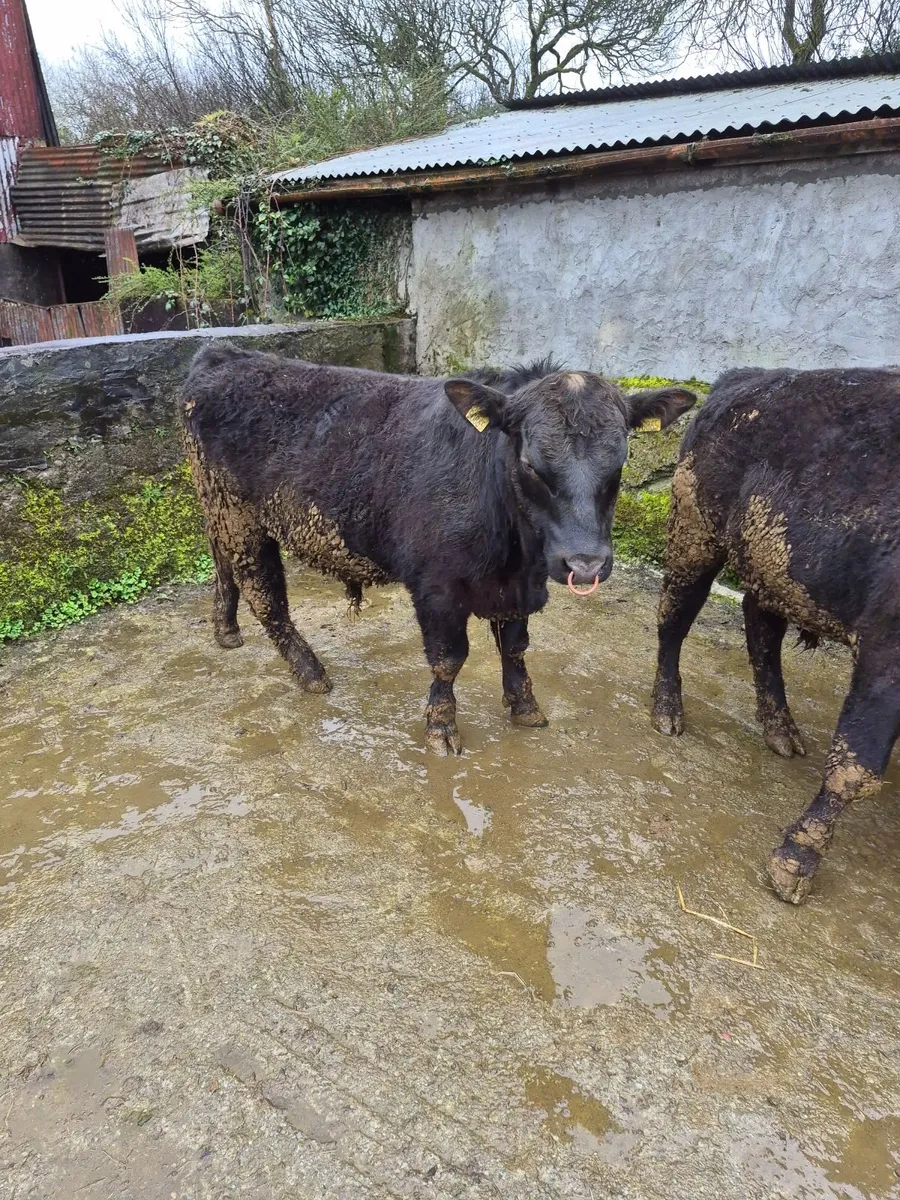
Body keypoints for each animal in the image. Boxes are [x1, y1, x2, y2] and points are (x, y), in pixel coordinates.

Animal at [180, 346, 696, 754]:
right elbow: (449, 658)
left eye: (620, 461)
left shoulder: (518, 588)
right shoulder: (436, 585)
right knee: (265, 595)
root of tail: (223, 354)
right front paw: (442, 727)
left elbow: (515, 646)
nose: (586, 564)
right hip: (241, 518)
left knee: (221, 563)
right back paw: (310, 673)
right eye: (531, 462)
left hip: (218, 508)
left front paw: (525, 706)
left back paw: (226, 631)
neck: (514, 556)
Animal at [650, 366, 900, 903]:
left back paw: (779, 727)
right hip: (695, 534)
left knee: (759, 624)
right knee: (673, 617)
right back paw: (667, 710)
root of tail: (744, 377)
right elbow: (856, 768)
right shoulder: (885, 650)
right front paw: (795, 861)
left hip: (769, 566)